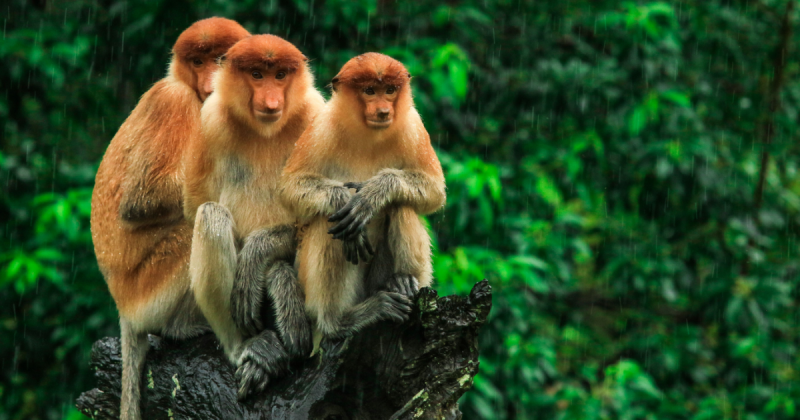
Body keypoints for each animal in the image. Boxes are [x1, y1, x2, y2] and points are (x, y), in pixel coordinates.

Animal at [90, 17, 250, 420]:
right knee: (196, 223)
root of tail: (122, 307)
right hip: (149, 291)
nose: (210, 80)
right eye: (198, 61)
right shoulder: (174, 101)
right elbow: (141, 199)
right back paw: (182, 328)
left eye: (220, 58)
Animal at [183, 34, 326, 400]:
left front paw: (258, 256)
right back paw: (249, 348)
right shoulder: (209, 120)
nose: (271, 100)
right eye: (257, 75)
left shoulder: (316, 115)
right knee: (211, 215)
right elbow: (195, 204)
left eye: (280, 75)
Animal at [279, 53, 446, 341]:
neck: (369, 134)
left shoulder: (413, 125)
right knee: (328, 222)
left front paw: (372, 194)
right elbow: (290, 187)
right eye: (369, 91)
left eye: (390, 90)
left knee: (401, 205)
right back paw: (339, 321)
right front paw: (342, 199)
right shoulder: (320, 127)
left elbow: (435, 190)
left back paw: (402, 282)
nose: (384, 111)